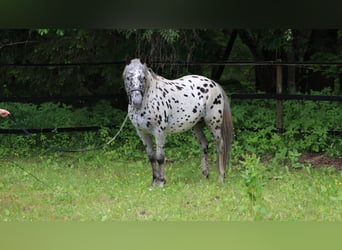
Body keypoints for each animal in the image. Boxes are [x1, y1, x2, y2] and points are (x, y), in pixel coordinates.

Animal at [124, 58, 234, 188]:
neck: (149, 98)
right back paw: (204, 177)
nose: (136, 101)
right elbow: (151, 157)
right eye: (128, 78)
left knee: (220, 146)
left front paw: (161, 183)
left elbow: (160, 157)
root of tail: (215, 84)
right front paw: (153, 183)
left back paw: (221, 178)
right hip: (196, 126)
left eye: (143, 78)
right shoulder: (142, 133)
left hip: (214, 124)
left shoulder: (159, 132)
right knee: (204, 145)